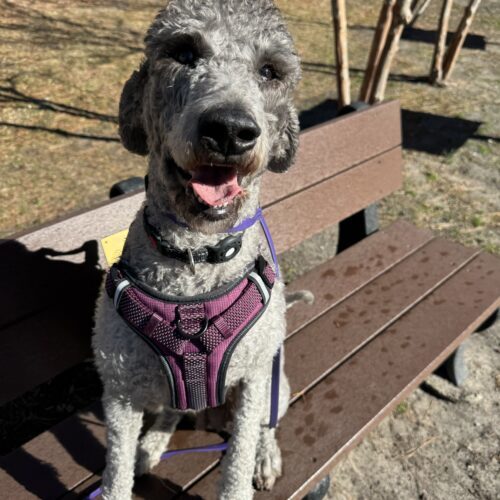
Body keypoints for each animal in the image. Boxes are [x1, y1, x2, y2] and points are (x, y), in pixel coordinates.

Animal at [92, 1, 300, 498]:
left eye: (270, 70)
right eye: (184, 53)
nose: (229, 129)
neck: (195, 259)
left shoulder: (253, 378)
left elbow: (239, 455)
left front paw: (250, 464)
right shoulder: (120, 389)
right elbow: (115, 471)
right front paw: (134, 458)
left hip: (275, 381)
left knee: (266, 424)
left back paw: (266, 454)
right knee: (172, 410)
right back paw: (151, 446)